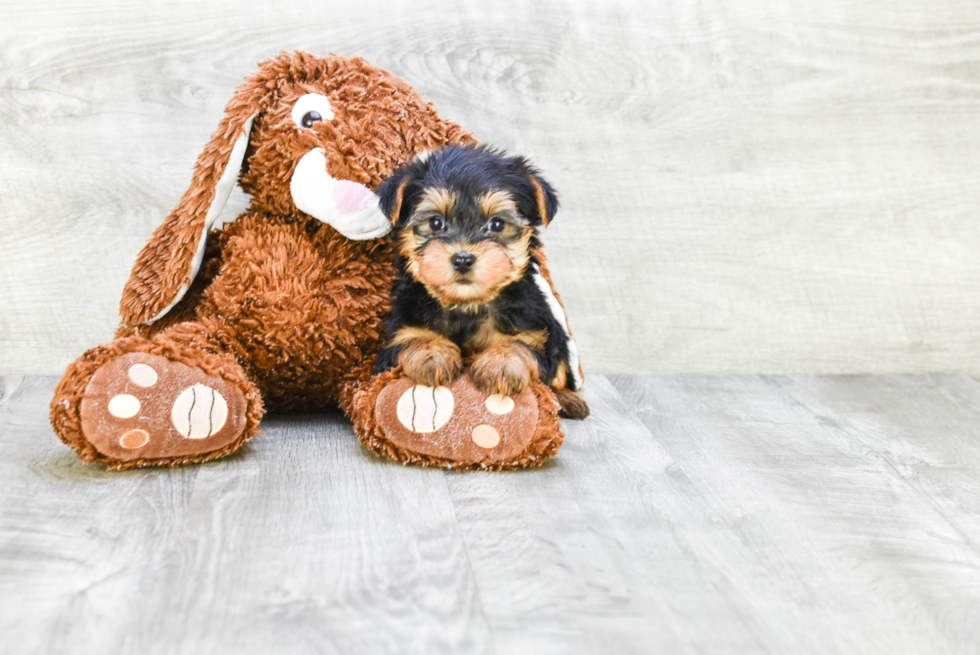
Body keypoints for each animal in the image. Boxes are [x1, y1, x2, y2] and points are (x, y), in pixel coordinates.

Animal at [374, 145, 588, 420]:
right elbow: (412, 337)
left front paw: (502, 362)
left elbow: (523, 344)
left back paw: (568, 399)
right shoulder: (400, 329)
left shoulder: (534, 329)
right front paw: (432, 354)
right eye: (435, 222)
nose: (463, 259)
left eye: (497, 224)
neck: (467, 305)